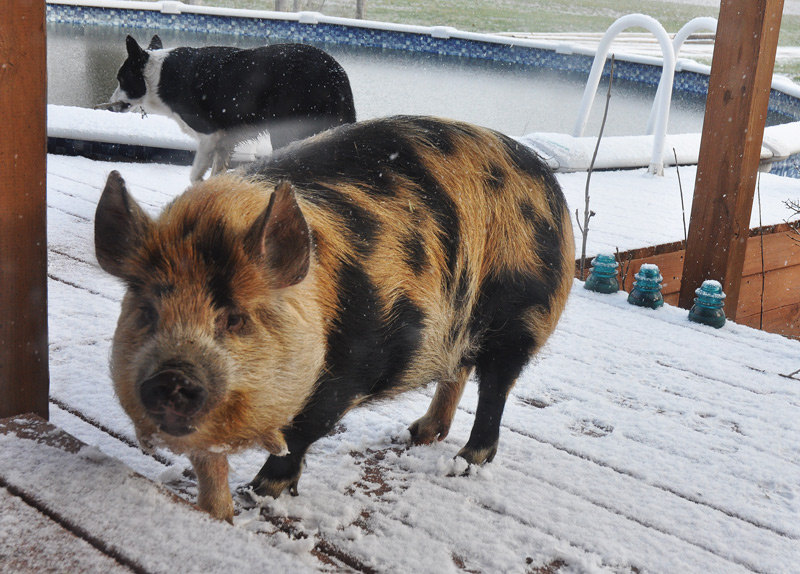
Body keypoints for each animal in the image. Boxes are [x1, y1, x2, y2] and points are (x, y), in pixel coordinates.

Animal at [95, 116, 575, 522]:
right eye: (146, 310)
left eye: (235, 318)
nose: (171, 374)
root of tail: (548, 180)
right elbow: (208, 465)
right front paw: (218, 515)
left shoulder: (347, 372)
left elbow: (300, 435)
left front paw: (259, 493)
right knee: (457, 371)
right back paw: (417, 434)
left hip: (523, 318)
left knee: (495, 389)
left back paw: (464, 460)